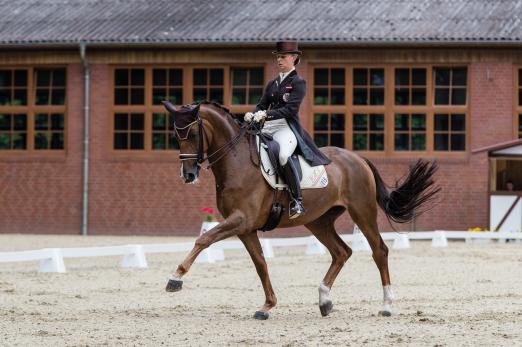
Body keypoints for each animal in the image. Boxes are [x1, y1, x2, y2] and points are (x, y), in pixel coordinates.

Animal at [161, 100, 434, 320]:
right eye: (175, 133)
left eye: (193, 132)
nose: (188, 175)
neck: (237, 162)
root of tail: (358, 158)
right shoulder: (245, 227)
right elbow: (260, 263)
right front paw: (267, 306)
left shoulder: (241, 219)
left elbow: (203, 239)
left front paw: (175, 278)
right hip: (318, 220)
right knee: (341, 252)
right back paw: (325, 300)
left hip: (362, 212)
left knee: (379, 251)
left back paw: (386, 305)